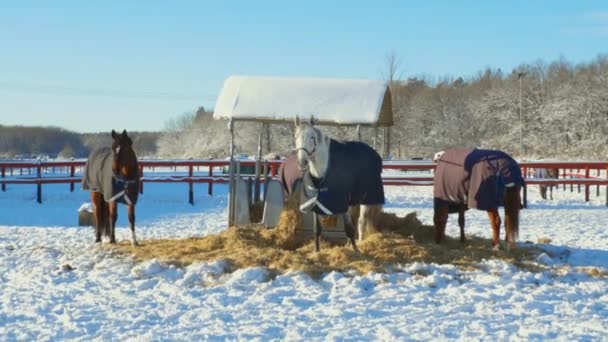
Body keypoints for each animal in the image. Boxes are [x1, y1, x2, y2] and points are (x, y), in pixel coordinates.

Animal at [294, 119, 384, 252]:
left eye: (312, 137)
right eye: (295, 137)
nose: (302, 162)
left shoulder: (342, 203)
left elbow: (349, 229)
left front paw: (356, 251)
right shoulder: (316, 203)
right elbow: (317, 229)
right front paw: (317, 251)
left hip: (366, 200)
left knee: (361, 222)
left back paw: (360, 243)